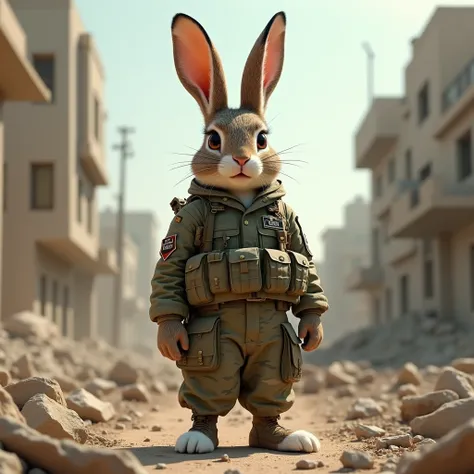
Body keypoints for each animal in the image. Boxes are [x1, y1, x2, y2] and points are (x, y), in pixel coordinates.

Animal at [150, 12, 328, 456]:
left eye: (262, 138)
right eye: (213, 139)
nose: (243, 159)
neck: (244, 200)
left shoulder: (292, 223)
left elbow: (307, 269)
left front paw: (314, 328)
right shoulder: (185, 223)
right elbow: (171, 270)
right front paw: (168, 334)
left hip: (279, 345)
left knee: (270, 390)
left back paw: (282, 437)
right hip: (209, 344)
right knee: (210, 387)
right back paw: (198, 437)